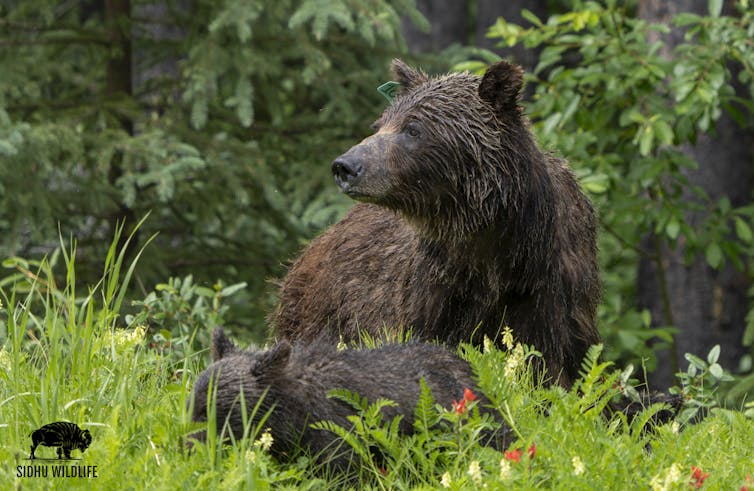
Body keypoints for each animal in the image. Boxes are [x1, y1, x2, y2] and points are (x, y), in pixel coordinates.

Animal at [271, 59, 600, 387]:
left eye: (413, 128)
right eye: (380, 125)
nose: (346, 166)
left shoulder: (549, 289)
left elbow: (550, 362)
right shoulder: (434, 288)